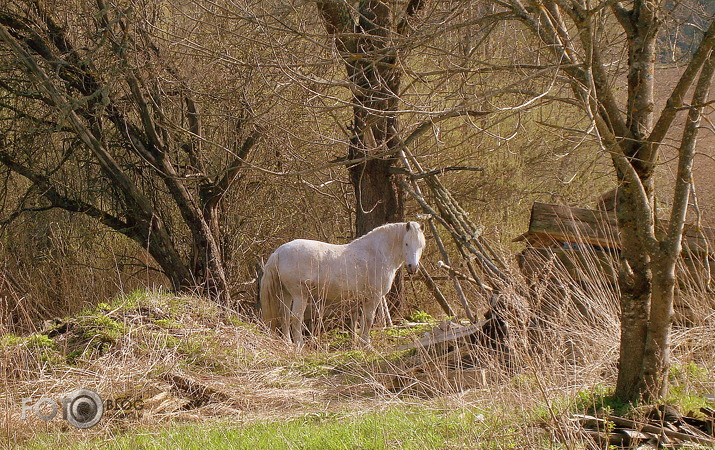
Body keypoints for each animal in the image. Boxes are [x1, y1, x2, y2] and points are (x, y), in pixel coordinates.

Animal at [262, 223, 426, 346]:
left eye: (421, 246)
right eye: (406, 243)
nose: (413, 267)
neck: (377, 253)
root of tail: (279, 252)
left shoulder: (362, 300)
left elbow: (361, 322)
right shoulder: (374, 297)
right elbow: (369, 320)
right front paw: (366, 345)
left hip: (286, 294)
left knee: (284, 317)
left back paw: (288, 344)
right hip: (300, 295)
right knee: (296, 319)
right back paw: (299, 346)